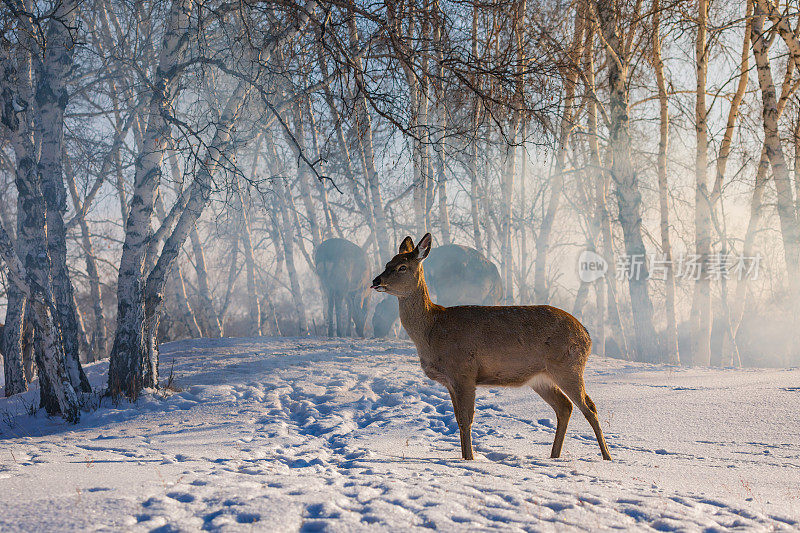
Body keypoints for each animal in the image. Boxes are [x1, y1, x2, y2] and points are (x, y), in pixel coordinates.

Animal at [370, 233, 612, 462]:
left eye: (402, 267)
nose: (376, 280)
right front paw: (465, 457)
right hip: (541, 378)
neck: (432, 329)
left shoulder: (464, 371)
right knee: (565, 407)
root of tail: (587, 335)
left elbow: (466, 419)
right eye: (388, 262)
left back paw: (607, 456)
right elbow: (458, 420)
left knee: (589, 407)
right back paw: (554, 455)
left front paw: (469, 459)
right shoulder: (450, 381)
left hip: (569, 366)